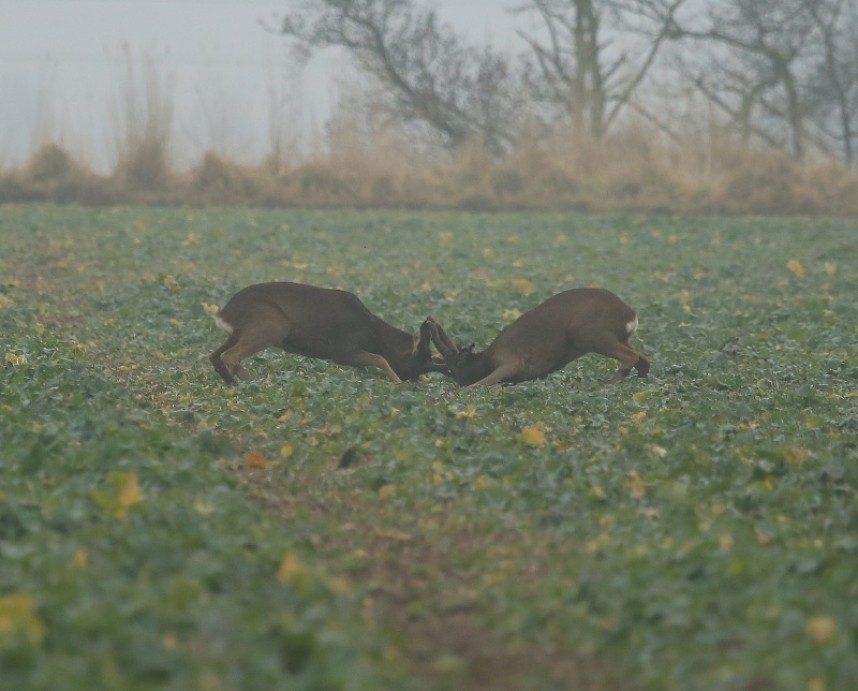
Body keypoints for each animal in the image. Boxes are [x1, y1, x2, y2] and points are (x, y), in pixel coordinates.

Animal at [210, 282, 444, 390]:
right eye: (419, 361)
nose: (415, 382)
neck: (373, 334)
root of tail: (223, 314)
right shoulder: (343, 350)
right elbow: (380, 358)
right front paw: (396, 383)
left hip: (241, 333)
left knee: (214, 355)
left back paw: (235, 383)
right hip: (269, 327)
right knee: (229, 356)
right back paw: (250, 382)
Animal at [428, 288, 648, 390]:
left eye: (454, 372)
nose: (458, 384)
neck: (486, 360)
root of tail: (631, 314)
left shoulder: (511, 361)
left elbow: (481, 384)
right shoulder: (540, 373)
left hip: (588, 332)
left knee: (631, 357)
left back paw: (608, 384)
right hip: (618, 337)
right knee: (643, 359)